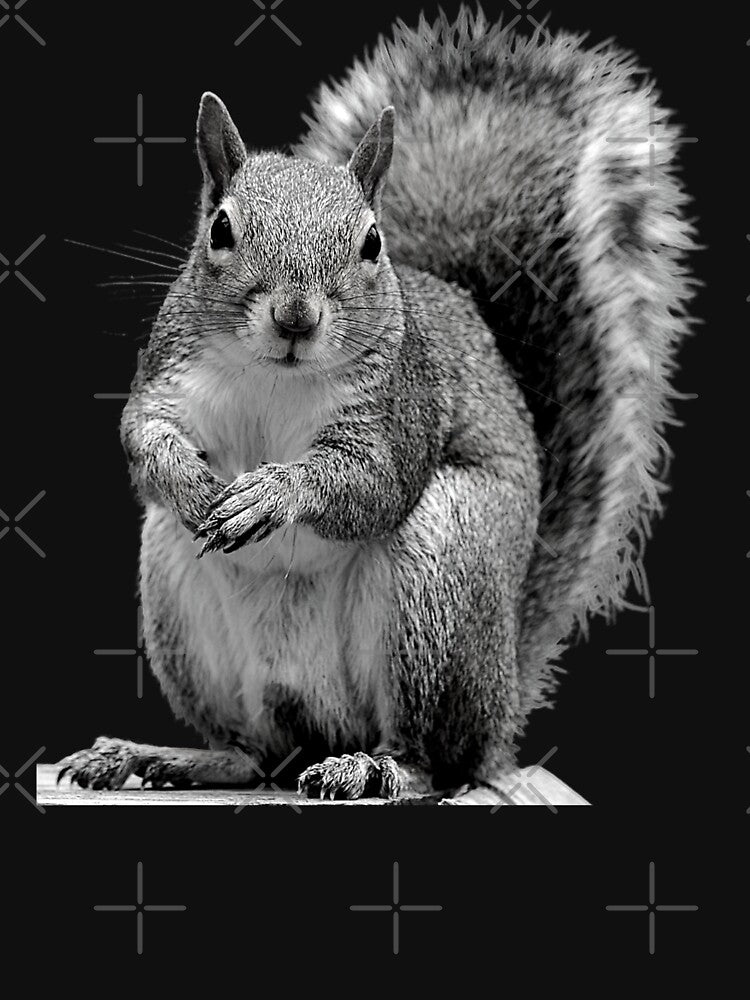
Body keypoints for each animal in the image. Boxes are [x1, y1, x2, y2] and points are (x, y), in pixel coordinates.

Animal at [58, 9, 694, 802]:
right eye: (220, 230)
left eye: (371, 242)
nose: (296, 317)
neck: (276, 375)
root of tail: (501, 704)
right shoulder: (170, 375)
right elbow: (143, 434)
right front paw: (192, 482)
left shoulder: (400, 408)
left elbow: (370, 482)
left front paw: (273, 493)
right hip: (176, 586)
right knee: (251, 753)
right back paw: (159, 756)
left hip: (441, 575)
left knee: (434, 758)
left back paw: (372, 767)